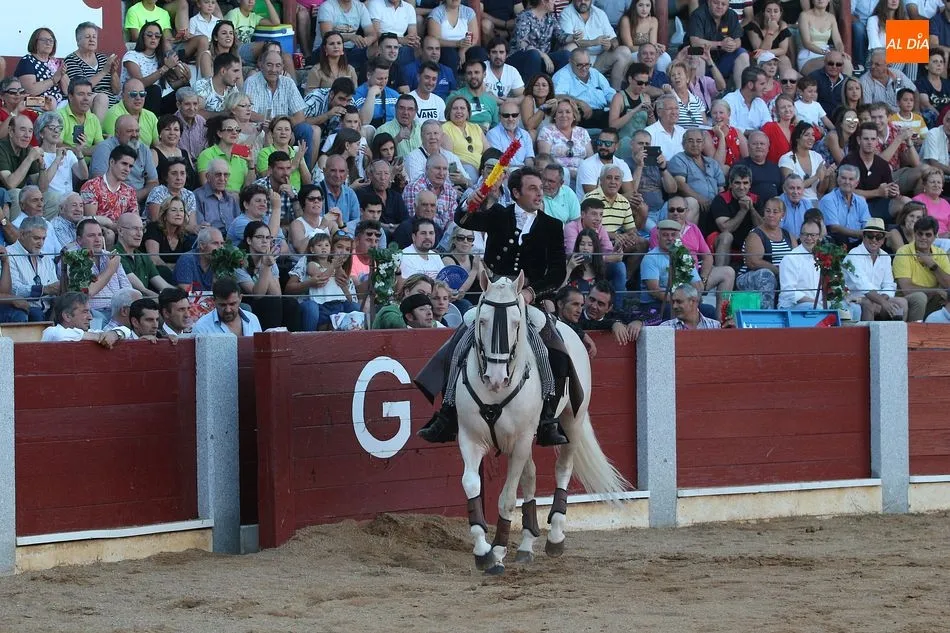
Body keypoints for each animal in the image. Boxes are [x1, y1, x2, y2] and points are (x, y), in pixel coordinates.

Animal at [456, 270, 630, 575]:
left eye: (516, 323)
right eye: (482, 320)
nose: (496, 379)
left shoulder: (522, 440)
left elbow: (506, 498)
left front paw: (497, 552)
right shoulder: (470, 438)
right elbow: (472, 486)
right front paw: (483, 551)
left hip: (572, 421)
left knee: (562, 468)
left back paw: (555, 537)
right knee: (531, 476)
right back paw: (526, 545)